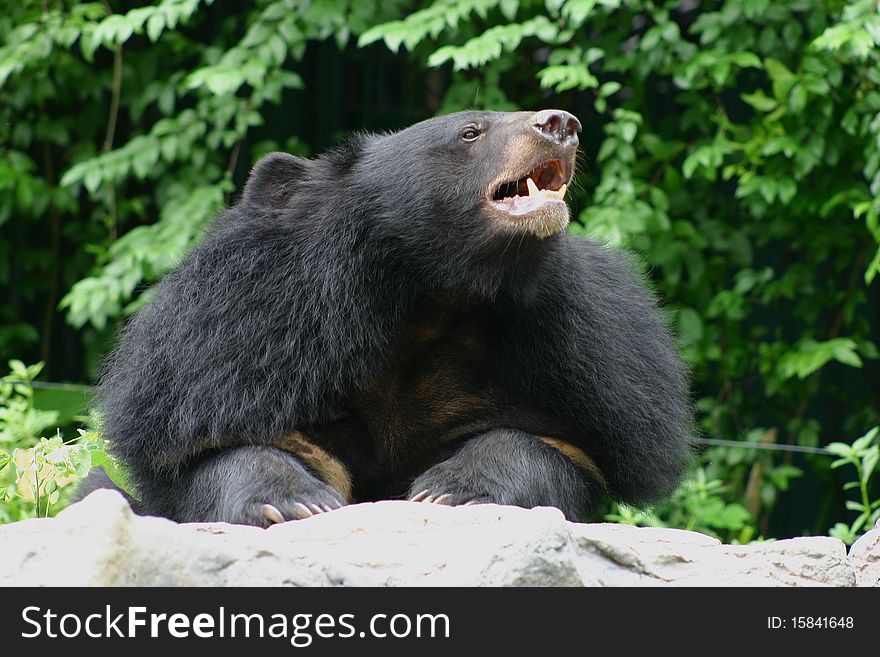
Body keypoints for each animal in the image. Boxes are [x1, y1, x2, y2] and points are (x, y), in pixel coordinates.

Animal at [89, 110, 696, 524]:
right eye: (471, 132)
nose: (562, 122)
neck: (434, 298)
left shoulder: (589, 363)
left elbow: (552, 444)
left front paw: (451, 489)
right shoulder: (244, 338)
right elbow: (229, 444)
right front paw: (296, 501)